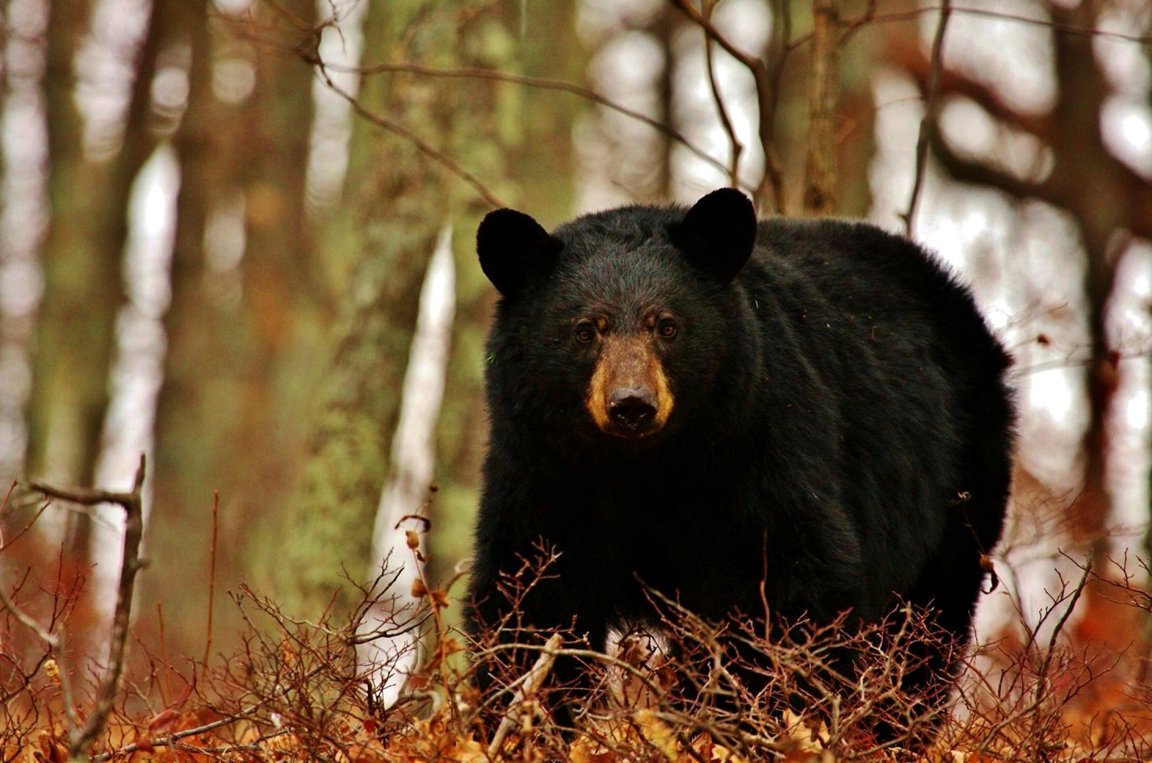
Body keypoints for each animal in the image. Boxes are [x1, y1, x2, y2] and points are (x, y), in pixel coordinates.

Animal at [465, 188, 1015, 733]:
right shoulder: (544, 470)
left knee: (921, 640)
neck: (643, 468)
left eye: (667, 326)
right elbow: (531, 600)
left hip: (957, 492)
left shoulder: (759, 449)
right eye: (586, 330)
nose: (632, 404)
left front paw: (745, 721)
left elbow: (787, 594)